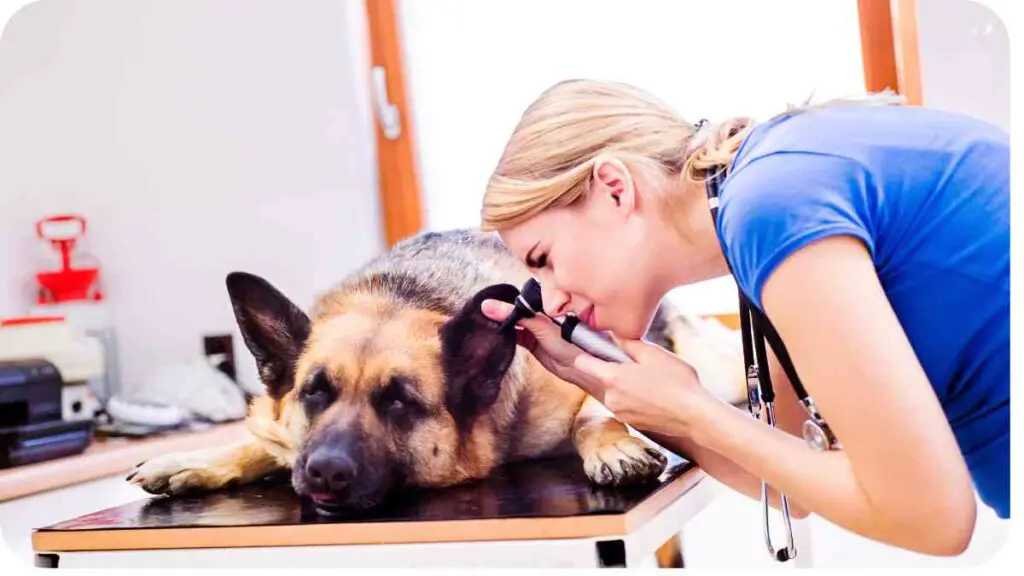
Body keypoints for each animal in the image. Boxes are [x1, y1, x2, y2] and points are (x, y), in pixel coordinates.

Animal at [128, 226, 741, 512]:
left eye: (399, 401)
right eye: (314, 393)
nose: (324, 473)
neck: (404, 294)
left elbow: (596, 408)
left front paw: (612, 445)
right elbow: (263, 438)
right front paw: (196, 459)